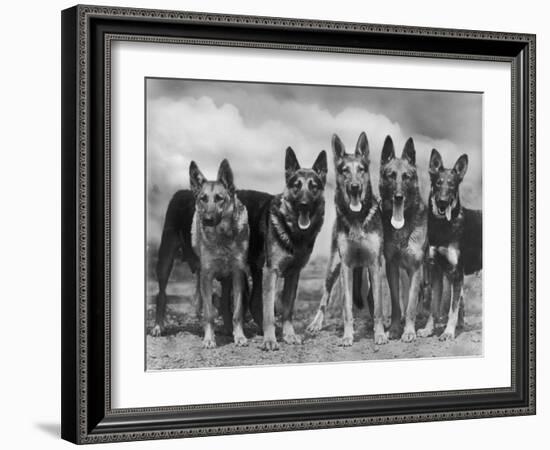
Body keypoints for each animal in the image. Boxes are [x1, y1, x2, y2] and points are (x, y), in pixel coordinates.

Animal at [258, 148, 328, 352]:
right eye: (296, 186)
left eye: (313, 187)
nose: (304, 204)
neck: (295, 233)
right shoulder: (270, 272)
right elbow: (269, 312)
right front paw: (270, 340)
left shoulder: (294, 273)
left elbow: (288, 308)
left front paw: (289, 335)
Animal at [304, 132, 386, 346]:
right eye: (344, 171)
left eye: (361, 169)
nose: (355, 187)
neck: (357, 217)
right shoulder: (346, 266)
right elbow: (346, 307)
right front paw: (348, 336)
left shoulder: (374, 264)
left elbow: (378, 307)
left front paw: (380, 333)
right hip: (334, 268)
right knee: (325, 298)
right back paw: (316, 323)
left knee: (370, 300)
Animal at [380, 135, 432, 342]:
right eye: (391, 175)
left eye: (406, 177)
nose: (398, 197)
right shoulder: (392, 268)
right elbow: (397, 303)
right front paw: (395, 329)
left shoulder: (416, 268)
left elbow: (410, 305)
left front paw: (409, 332)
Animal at [418, 149, 484, 340]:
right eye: (438, 183)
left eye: (452, 185)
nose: (442, 201)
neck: (443, 227)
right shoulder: (436, 271)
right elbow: (434, 307)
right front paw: (428, 329)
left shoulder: (456, 273)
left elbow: (452, 310)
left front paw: (448, 332)